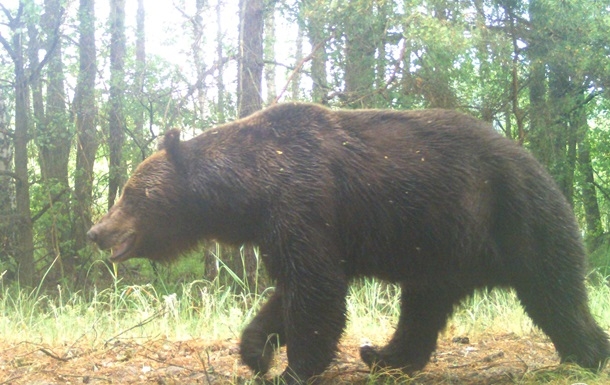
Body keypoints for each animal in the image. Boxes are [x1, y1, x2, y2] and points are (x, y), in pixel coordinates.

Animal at [88, 102, 604, 384]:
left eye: (129, 193)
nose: (97, 230)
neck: (252, 188)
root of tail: (540, 166)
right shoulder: (282, 227)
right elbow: (290, 293)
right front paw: (257, 352)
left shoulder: (305, 204)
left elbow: (316, 295)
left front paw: (293, 369)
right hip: (441, 249)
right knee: (423, 308)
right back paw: (382, 356)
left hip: (516, 219)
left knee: (555, 291)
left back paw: (588, 355)